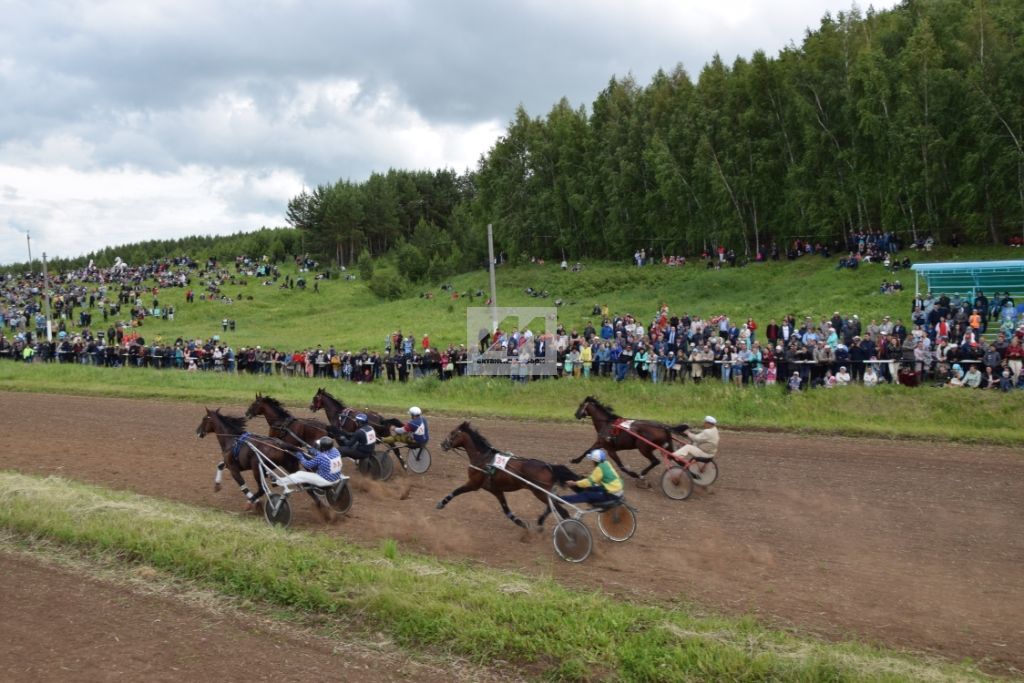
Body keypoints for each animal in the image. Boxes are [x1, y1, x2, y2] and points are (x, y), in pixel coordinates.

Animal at [197, 405, 337, 518]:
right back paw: (323, 509)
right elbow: (220, 465)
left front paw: (256, 504)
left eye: (204, 419)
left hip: (257, 468)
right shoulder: (237, 465)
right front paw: (217, 485)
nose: (197, 432)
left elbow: (243, 486)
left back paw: (254, 504)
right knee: (306, 485)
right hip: (290, 465)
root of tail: (282, 445)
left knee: (262, 489)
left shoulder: (234, 468)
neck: (233, 440)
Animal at [438, 423, 581, 532]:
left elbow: (456, 491)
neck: (484, 459)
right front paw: (522, 523)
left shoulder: (473, 484)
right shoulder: (496, 490)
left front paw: (441, 503)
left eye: (452, 433)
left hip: (540, 492)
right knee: (554, 506)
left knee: (562, 510)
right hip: (545, 493)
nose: (442, 444)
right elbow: (507, 510)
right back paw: (541, 523)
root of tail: (548, 466)